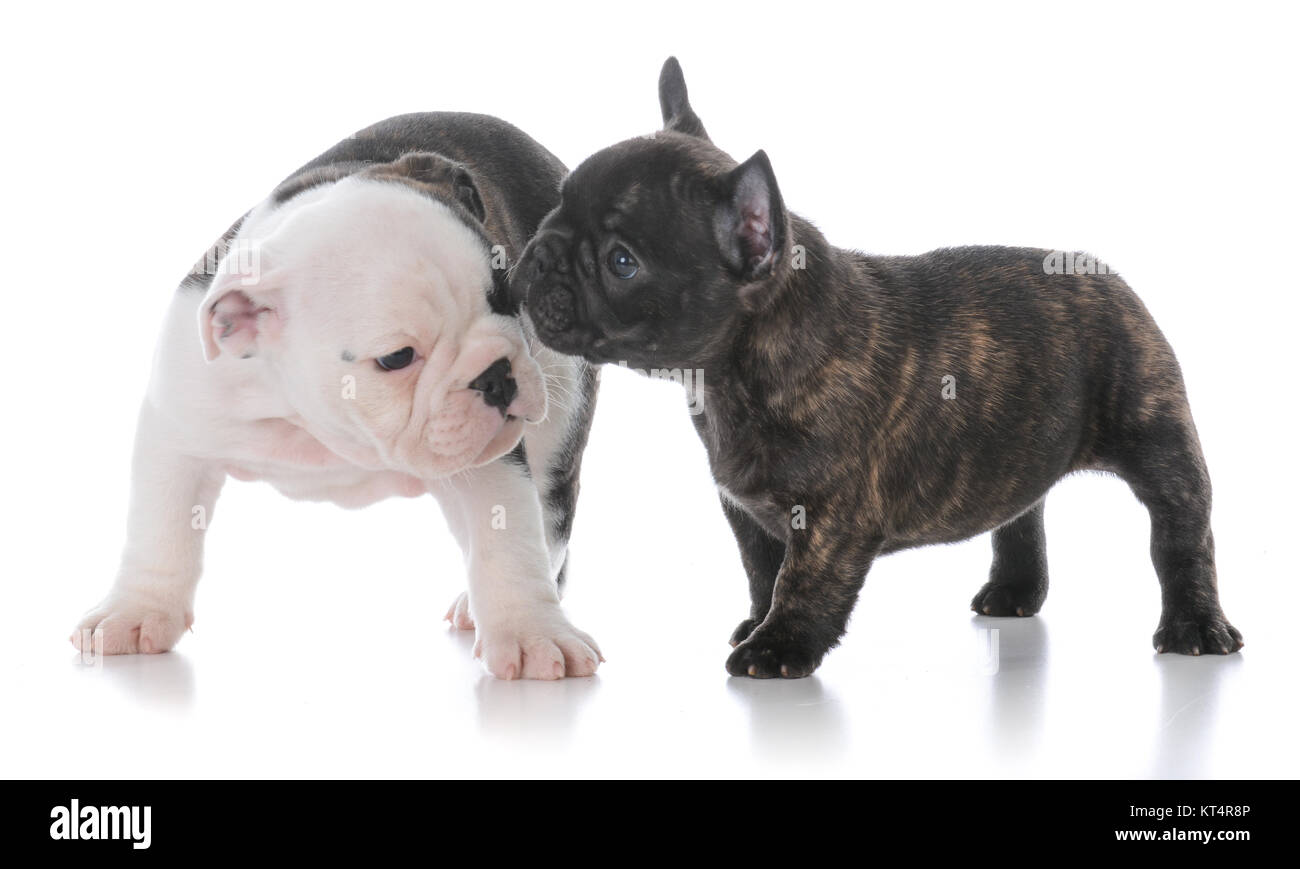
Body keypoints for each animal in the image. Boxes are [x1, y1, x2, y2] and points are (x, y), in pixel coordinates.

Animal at [73, 112, 602, 680]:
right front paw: (135, 610)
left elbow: (511, 543)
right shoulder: (178, 429)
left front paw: (531, 633)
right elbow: (161, 528)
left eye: (505, 298)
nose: (497, 375)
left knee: (550, 518)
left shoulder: (493, 462)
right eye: (397, 358)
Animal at [512, 58, 1241, 678]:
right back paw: (1012, 592)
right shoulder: (744, 508)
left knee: (1183, 531)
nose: (539, 251)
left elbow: (804, 579)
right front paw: (757, 622)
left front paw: (777, 646)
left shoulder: (831, 514)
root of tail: (1101, 273)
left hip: (1156, 433)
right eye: (556, 207)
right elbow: (760, 568)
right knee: (1021, 509)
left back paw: (1196, 628)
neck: (735, 368)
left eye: (621, 261)